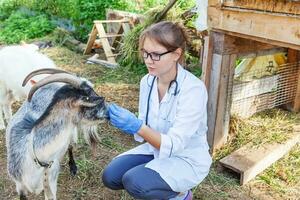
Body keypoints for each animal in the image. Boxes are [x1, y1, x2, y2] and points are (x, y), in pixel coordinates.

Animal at [5, 68, 108, 199]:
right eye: (90, 96)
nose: (108, 113)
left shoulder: (51, 182)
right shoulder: (20, 184)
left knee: (70, 146)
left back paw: (73, 167)